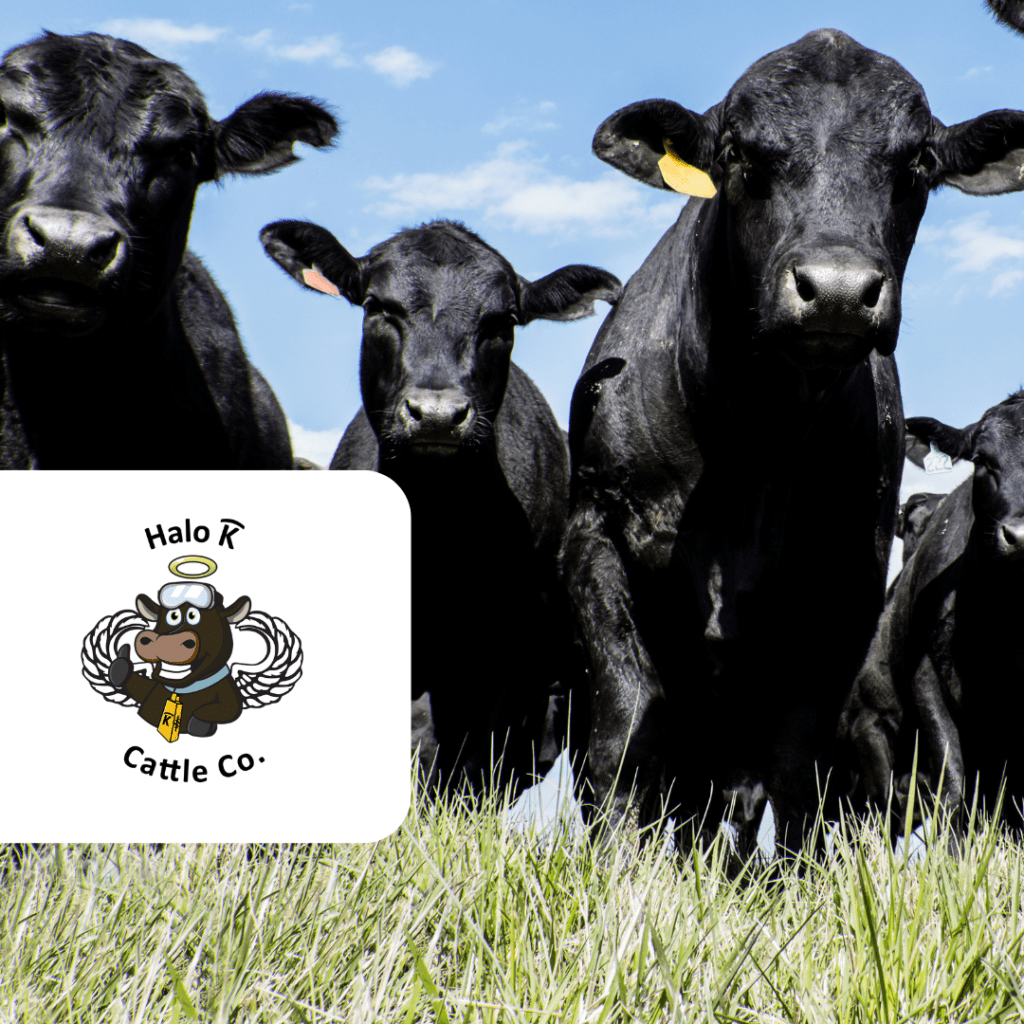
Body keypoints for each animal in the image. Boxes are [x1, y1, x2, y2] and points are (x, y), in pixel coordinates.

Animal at [108, 582, 251, 738]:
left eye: (193, 616)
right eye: (173, 616)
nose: (163, 641)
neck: (180, 689)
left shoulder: (226, 690)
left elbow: (229, 708)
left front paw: (198, 724)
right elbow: (141, 688)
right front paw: (120, 667)